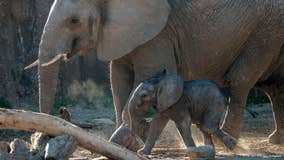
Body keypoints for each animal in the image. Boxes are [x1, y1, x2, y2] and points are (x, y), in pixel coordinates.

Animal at [27, 0, 284, 145]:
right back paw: (275, 140)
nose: (42, 138)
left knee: (241, 80)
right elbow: (118, 78)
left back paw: (228, 142)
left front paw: (132, 136)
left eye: (73, 20)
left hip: (265, 32)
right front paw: (123, 139)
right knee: (275, 88)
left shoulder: (159, 33)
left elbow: (144, 77)